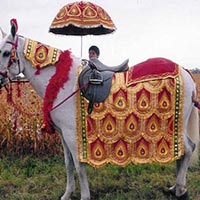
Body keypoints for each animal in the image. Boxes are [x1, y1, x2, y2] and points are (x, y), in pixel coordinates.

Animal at [0, 19, 198, 200]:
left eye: (6, 52)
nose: (0, 80)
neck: (62, 81)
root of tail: (185, 72)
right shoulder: (63, 135)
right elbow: (68, 164)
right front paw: (67, 194)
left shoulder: (72, 135)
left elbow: (79, 166)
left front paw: (84, 196)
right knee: (183, 152)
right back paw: (175, 187)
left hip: (176, 127)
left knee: (188, 149)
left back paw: (180, 189)